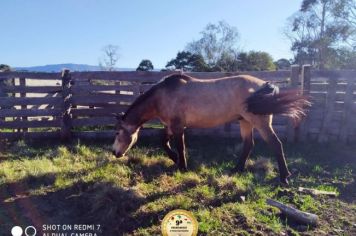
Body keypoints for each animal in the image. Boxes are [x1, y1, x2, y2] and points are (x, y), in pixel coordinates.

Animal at [111, 74, 308, 184]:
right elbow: (164, 142)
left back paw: (284, 177)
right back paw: (236, 170)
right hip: (245, 122)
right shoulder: (170, 125)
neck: (161, 96)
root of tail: (264, 85)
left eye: (118, 133)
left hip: (260, 123)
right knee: (248, 145)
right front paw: (175, 159)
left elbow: (180, 146)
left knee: (275, 144)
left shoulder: (177, 126)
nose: (114, 152)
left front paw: (182, 166)